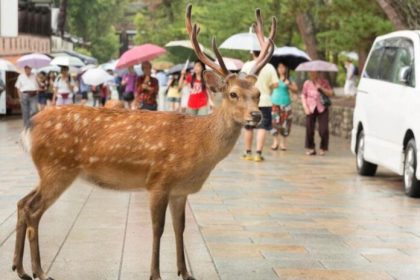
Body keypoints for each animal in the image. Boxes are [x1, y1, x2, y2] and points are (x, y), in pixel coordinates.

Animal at [12, 4, 276, 280]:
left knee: (22, 203)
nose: (256, 115)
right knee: (34, 210)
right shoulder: (159, 181)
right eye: (233, 94)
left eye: (257, 93)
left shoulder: (180, 190)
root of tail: (29, 127)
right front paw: (155, 274)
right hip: (57, 168)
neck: (197, 146)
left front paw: (185, 272)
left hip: (48, 171)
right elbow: (158, 228)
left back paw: (20, 268)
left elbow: (180, 228)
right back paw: (40, 271)